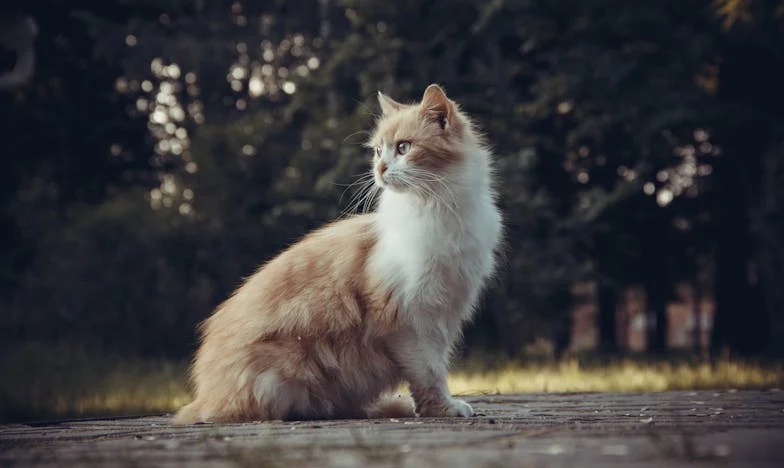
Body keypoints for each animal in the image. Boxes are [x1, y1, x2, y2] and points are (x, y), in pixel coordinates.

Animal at [172, 84, 502, 424]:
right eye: (378, 151)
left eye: (403, 148)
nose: (379, 169)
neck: (438, 208)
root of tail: (205, 397)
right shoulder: (410, 321)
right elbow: (429, 375)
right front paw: (443, 409)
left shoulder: (443, 316)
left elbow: (434, 370)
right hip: (284, 374)